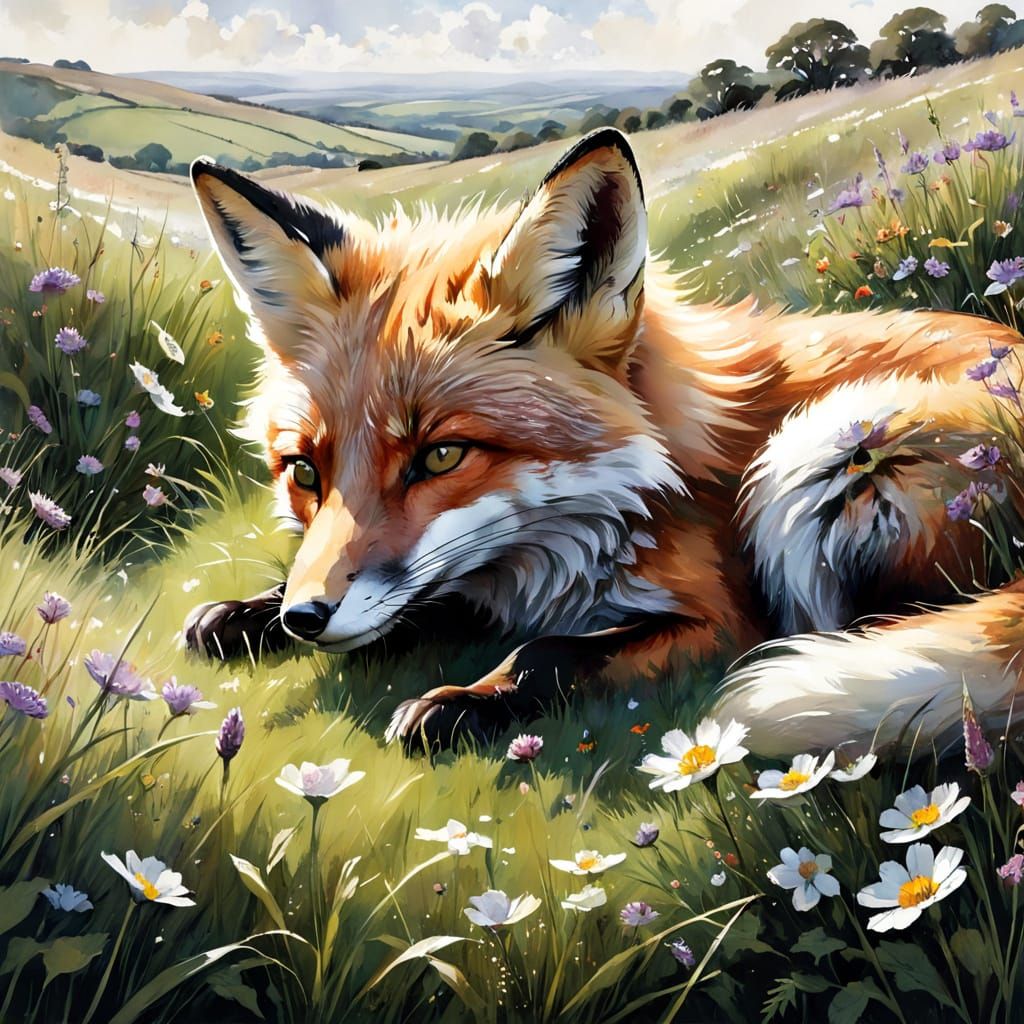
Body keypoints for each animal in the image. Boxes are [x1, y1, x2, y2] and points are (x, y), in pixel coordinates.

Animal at [184, 127, 1024, 759]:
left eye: (441, 456)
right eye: (303, 471)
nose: (306, 620)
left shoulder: (720, 623)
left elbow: (548, 652)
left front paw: (463, 701)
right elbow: (428, 597)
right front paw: (252, 612)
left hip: (821, 448)